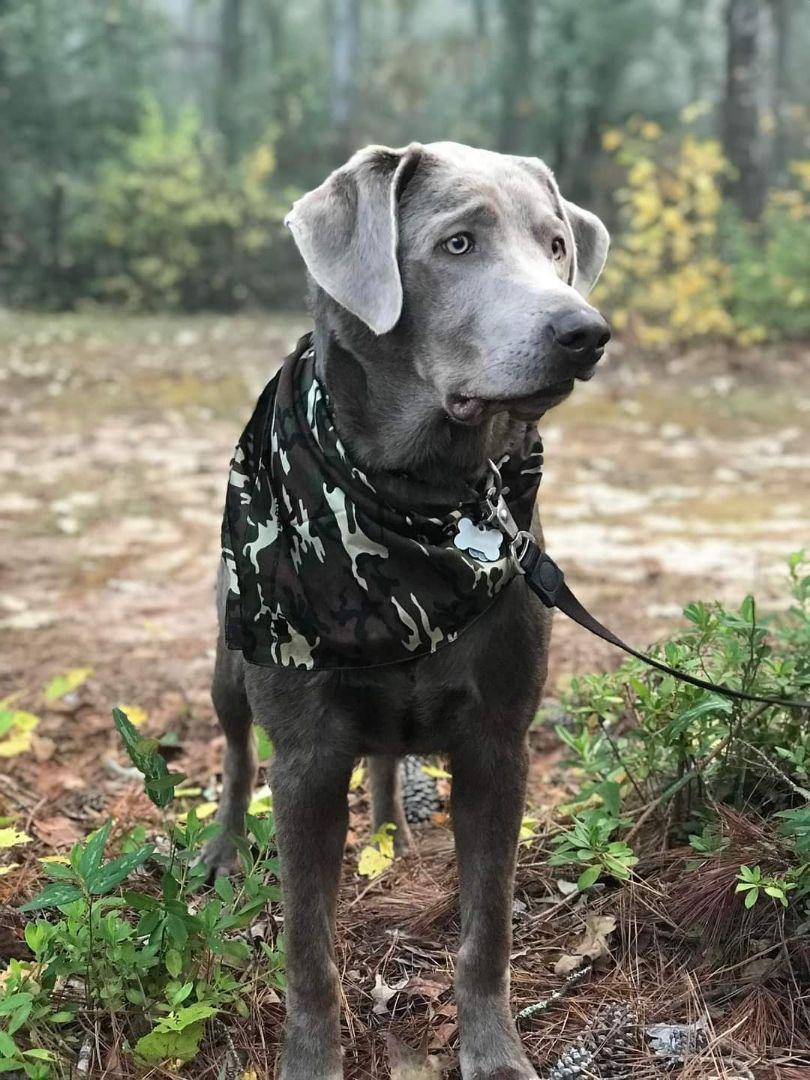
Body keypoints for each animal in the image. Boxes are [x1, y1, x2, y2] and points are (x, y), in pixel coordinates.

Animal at [206, 143, 613, 1080]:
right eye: (458, 243)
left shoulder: (500, 745)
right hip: (228, 663)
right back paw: (221, 852)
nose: (585, 331)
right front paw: (310, 1063)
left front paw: (493, 1052)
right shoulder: (307, 760)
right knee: (237, 754)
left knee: (388, 759)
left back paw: (393, 837)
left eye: (557, 245)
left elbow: (486, 928)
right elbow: (309, 953)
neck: (419, 502)